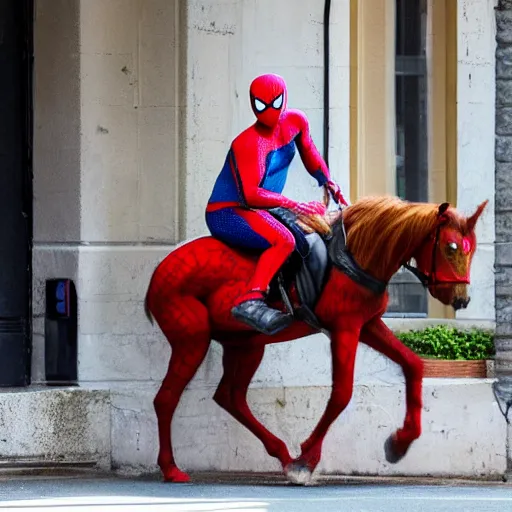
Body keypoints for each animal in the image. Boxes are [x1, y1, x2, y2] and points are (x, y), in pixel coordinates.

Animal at [144, 194, 488, 482]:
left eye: (471, 247)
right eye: (450, 247)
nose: (461, 300)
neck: (356, 254)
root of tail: (161, 270)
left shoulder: (368, 325)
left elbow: (413, 365)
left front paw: (400, 443)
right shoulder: (345, 328)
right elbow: (341, 394)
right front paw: (307, 459)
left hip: (245, 344)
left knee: (230, 396)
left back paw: (281, 454)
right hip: (193, 341)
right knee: (166, 398)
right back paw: (171, 468)